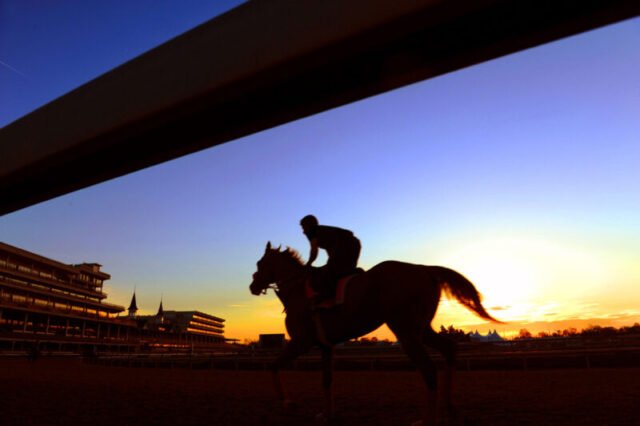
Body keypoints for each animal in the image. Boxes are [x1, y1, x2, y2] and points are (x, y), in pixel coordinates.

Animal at [249, 242, 501, 425]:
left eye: (260, 263)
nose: (252, 287)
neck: (298, 292)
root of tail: (424, 269)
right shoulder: (326, 346)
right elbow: (326, 381)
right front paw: (327, 415)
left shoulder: (301, 342)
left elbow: (274, 367)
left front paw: (287, 402)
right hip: (421, 329)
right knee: (449, 349)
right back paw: (450, 409)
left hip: (406, 331)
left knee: (429, 369)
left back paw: (428, 419)